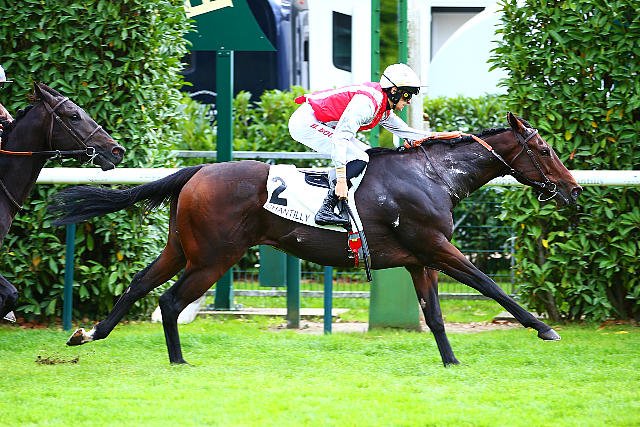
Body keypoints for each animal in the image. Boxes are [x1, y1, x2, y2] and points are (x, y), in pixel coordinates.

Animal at [49, 112, 581, 366]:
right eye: (545, 150)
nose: (574, 189)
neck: (433, 175)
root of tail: (198, 170)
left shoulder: (419, 259)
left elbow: (433, 315)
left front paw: (450, 362)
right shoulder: (435, 247)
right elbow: (489, 284)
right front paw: (543, 328)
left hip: (182, 248)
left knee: (142, 284)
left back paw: (91, 332)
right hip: (215, 258)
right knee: (171, 300)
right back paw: (179, 361)